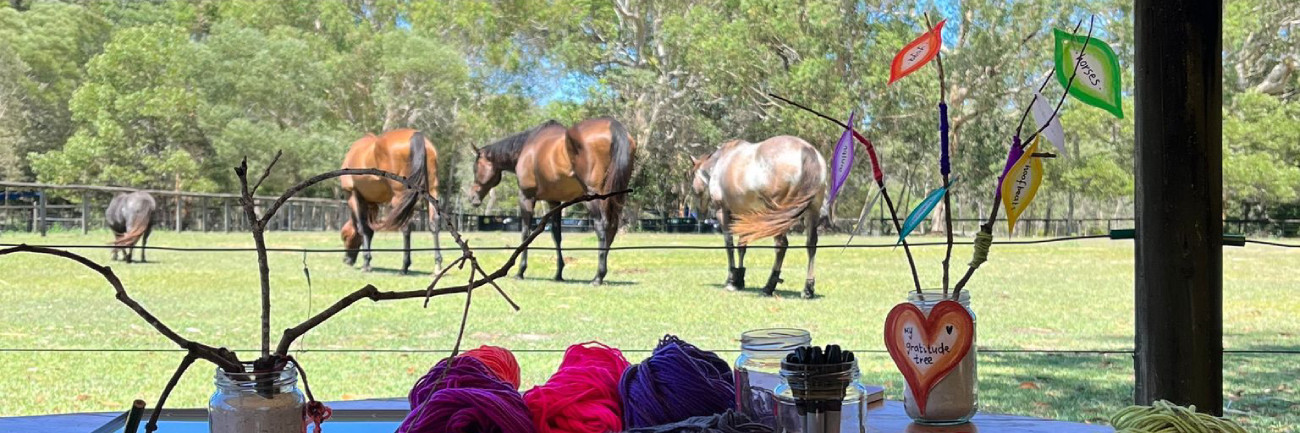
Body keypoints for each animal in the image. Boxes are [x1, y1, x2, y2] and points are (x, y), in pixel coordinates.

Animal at [340, 126, 441, 273]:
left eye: (345, 237)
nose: (346, 260)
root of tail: (416, 136)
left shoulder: (353, 194)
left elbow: (363, 227)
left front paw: (366, 263)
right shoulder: (372, 203)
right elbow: (370, 230)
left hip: (401, 197)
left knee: (406, 227)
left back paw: (404, 267)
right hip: (431, 192)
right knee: (434, 224)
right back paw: (437, 266)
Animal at [470, 117, 637, 283]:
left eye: (475, 168)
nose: (472, 197)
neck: (526, 148)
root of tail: (612, 126)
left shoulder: (526, 198)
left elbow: (525, 233)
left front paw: (520, 271)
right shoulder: (554, 201)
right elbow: (556, 235)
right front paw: (558, 274)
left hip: (593, 197)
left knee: (602, 227)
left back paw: (598, 277)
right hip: (617, 196)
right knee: (612, 227)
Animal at [696, 135, 826, 296]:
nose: (699, 213)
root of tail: (806, 150)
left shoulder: (723, 212)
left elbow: (729, 244)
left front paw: (731, 280)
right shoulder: (745, 215)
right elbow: (742, 245)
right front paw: (739, 279)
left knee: (781, 245)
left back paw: (769, 287)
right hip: (812, 212)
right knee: (811, 245)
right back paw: (808, 289)